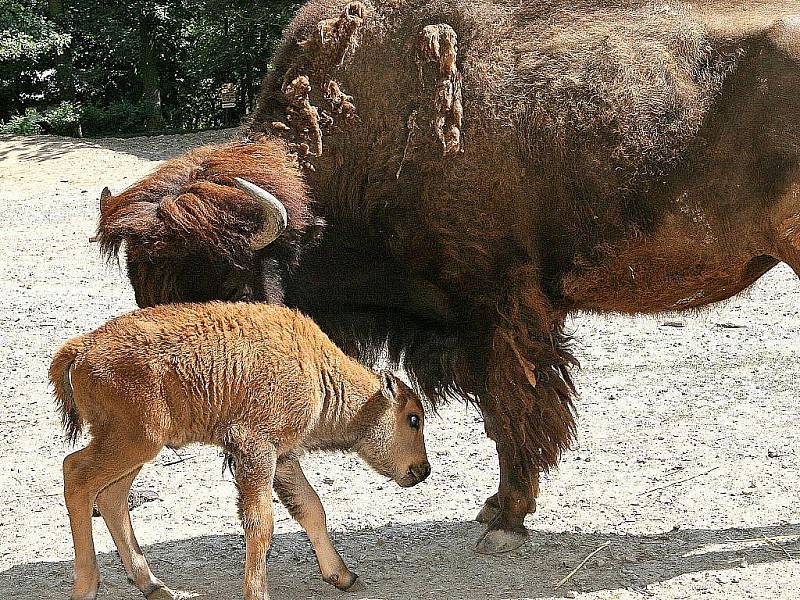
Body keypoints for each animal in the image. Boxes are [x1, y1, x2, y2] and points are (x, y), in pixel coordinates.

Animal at [50, 304, 432, 600]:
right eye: (413, 419)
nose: (423, 469)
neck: (318, 372)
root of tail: (81, 347)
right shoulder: (256, 450)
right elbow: (261, 521)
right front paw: (257, 591)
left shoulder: (283, 457)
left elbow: (311, 508)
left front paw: (343, 576)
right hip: (132, 441)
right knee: (77, 476)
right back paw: (87, 587)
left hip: (136, 449)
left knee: (111, 498)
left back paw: (154, 585)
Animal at [100, 0, 800, 552]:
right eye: (144, 286)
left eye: (230, 284)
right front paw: (500, 510)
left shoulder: (498, 311)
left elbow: (514, 412)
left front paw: (503, 519)